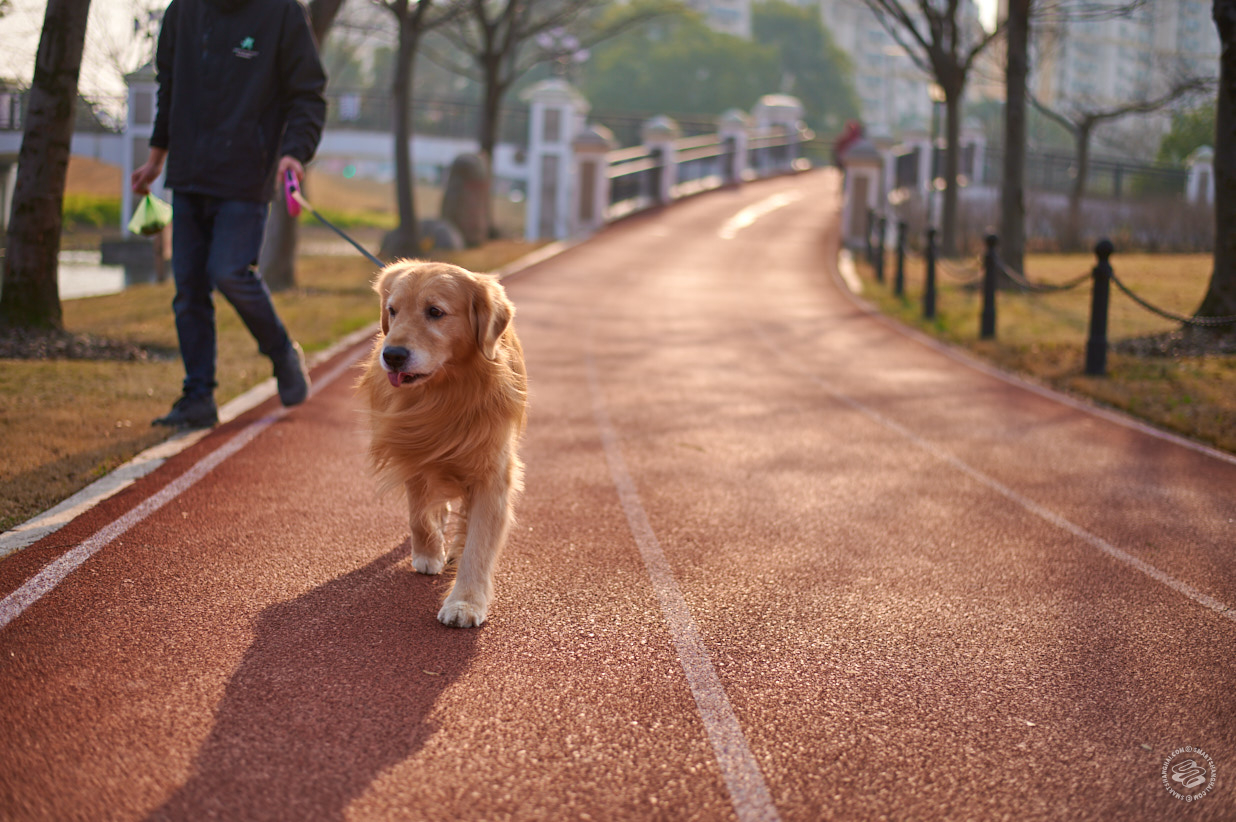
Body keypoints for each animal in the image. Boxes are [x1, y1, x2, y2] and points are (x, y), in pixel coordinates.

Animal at [360, 259, 529, 625]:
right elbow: (418, 514)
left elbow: (478, 544)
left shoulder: (492, 474)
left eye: (435, 312)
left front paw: (465, 602)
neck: (446, 393)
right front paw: (427, 552)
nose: (392, 355)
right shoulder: (414, 450)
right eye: (392, 310)